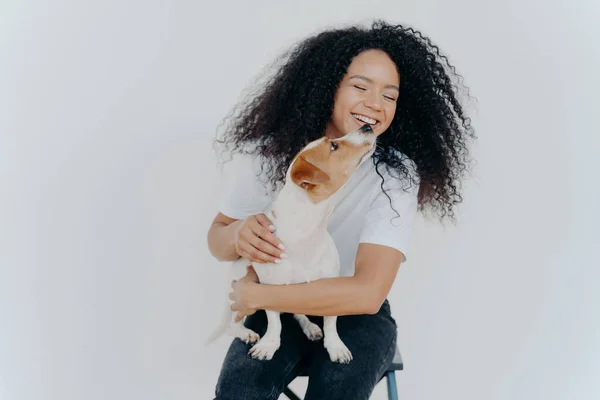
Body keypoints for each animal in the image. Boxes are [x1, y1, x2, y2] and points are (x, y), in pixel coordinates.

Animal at [206, 124, 376, 362]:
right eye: (334, 146)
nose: (367, 126)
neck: (307, 232)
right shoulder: (268, 289)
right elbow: (274, 323)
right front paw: (269, 345)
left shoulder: (331, 284)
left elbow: (331, 321)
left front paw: (335, 346)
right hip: (238, 292)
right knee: (234, 323)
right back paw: (245, 333)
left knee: (297, 312)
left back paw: (309, 326)